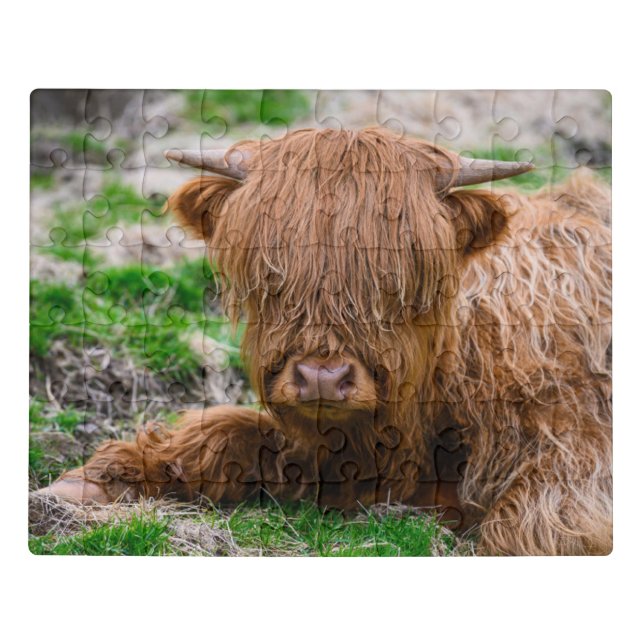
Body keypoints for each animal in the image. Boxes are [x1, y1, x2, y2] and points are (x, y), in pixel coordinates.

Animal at [40, 127, 612, 555]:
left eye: (399, 281)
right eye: (271, 276)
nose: (322, 378)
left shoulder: (574, 463)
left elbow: (524, 531)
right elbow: (225, 434)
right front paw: (89, 483)